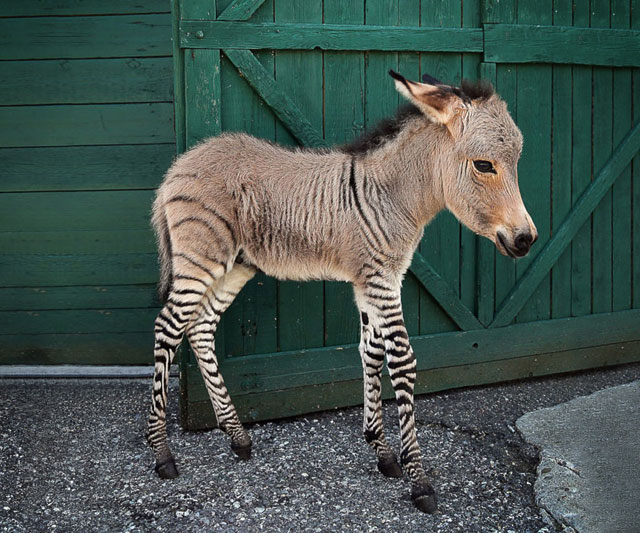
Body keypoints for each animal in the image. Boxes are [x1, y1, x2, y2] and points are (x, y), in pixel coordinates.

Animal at [147, 70, 537, 513]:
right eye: (484, 166)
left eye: (516, 163)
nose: (526, 240)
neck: (393, 196)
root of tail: (180, 164)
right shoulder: (380, 279)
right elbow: (402, 361)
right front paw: (419, 480)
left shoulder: (374, 280)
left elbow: (370, 352)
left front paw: (382, 451)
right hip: (201, 258)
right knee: (168, 328)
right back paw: (162, 455)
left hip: (235, 265)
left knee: (199, 329)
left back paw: (238, 438)